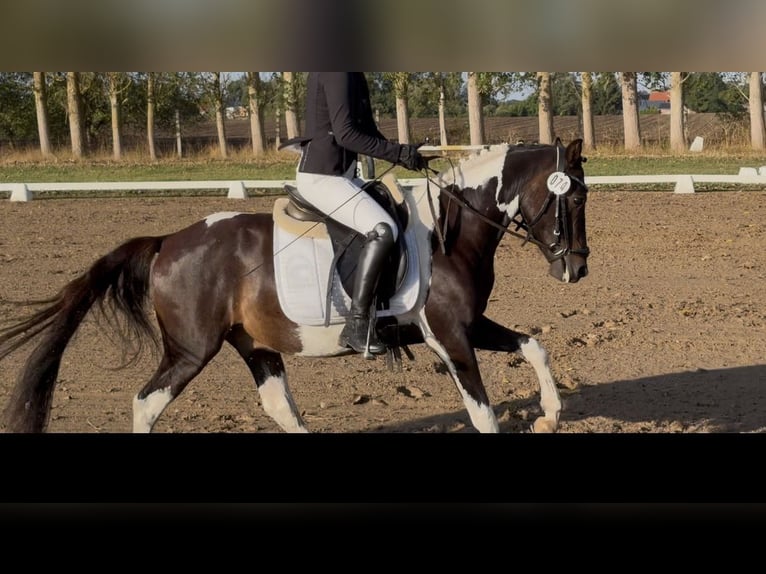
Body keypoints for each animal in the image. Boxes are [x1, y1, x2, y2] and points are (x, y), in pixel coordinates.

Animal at [0, 138, 589, 434]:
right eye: (575, 197)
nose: (578, 270)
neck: (448, 232)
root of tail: (169, 241)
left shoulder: (467, 325)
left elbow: (534, 346)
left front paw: (551, 415)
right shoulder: (448, 336)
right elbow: (482, 413)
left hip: (253, 344)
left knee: (279, 407)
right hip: (191, 349)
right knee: (147, 403)